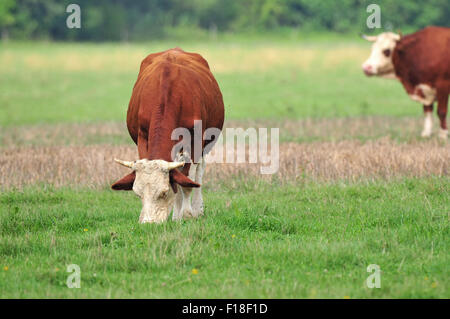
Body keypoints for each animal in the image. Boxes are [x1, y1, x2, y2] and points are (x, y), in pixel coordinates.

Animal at [111, 48, 224, 225]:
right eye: (137, 193)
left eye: (163, 192)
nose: (148, 223)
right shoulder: (142, 136)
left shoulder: (195, 141)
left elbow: (187, 180)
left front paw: (186, 214)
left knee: (198, 172)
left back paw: (196, 208)